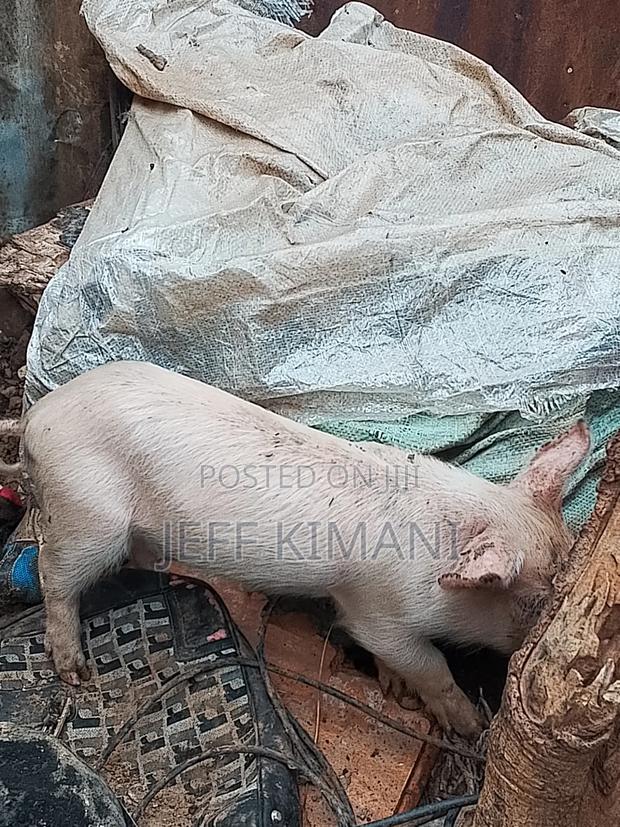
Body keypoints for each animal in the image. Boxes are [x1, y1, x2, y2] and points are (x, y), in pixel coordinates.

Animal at [0, 361, 590, 736]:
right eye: (533, 600)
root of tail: (37, 415)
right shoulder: (377, 612)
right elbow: (431, 665)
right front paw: (471, 726)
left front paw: (396, 692)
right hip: (88, 514)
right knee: (55, 574)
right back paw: (74, 671)